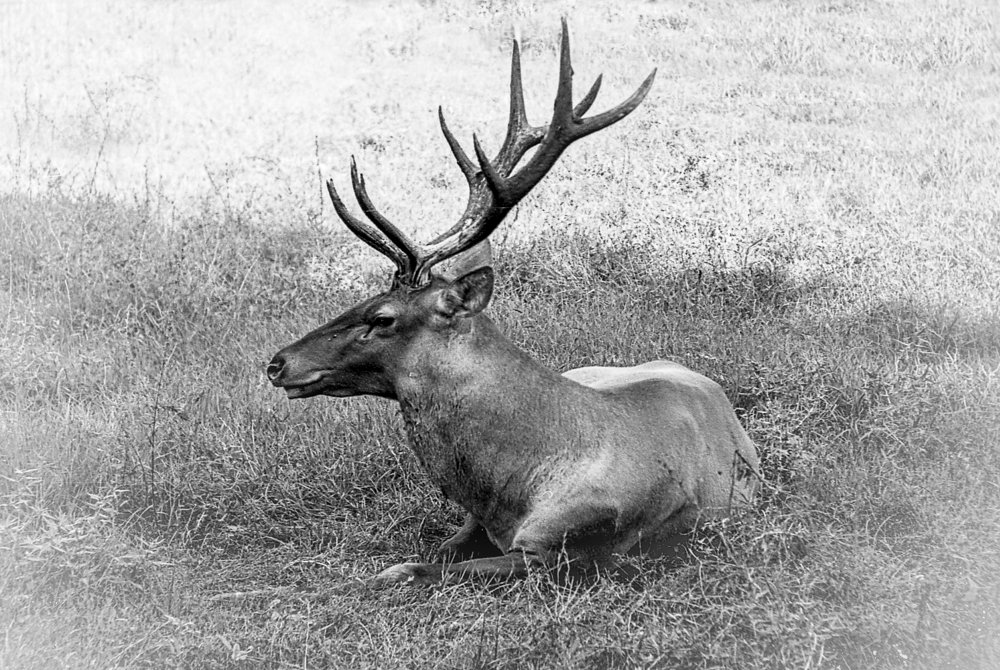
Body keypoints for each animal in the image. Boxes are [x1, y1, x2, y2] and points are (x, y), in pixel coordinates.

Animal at [267, 20, 761, 586]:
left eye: (382, 317)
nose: (277, 362)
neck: (512, 485)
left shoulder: (557, 551)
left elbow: (416, 570)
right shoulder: (476, 519)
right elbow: (436, 550)